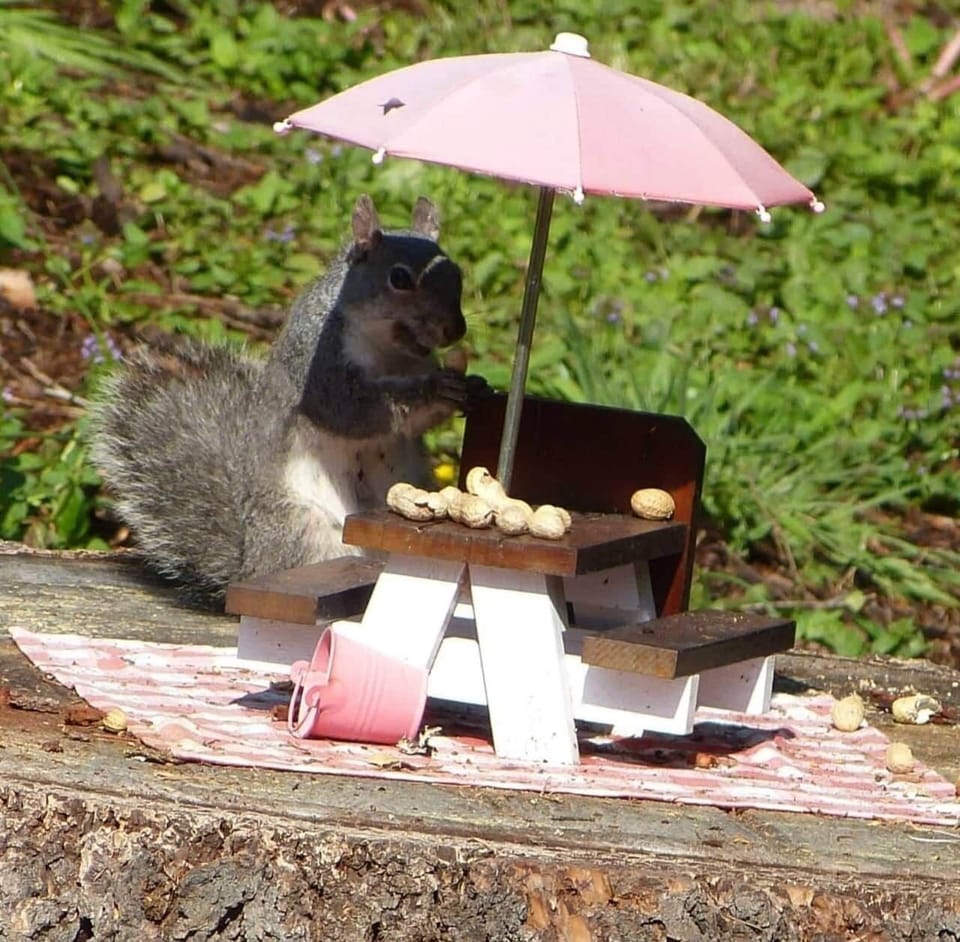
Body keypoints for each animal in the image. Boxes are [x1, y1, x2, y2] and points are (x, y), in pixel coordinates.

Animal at [91, 194, 485, 603]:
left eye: (457, 273)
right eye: (400, 278)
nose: (455, 329)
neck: (392, 352)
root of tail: (248, 567)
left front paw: (470, 388)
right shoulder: (317, 361)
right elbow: (352, 410)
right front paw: (433, 389)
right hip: (306, 531)